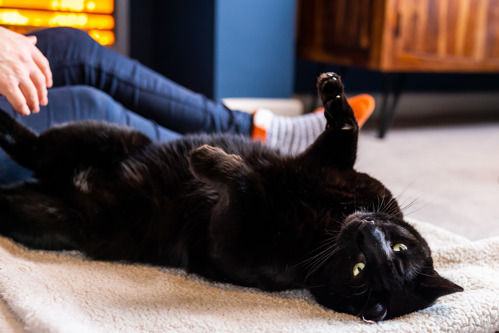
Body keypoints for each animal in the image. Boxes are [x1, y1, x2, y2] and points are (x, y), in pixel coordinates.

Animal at [0, 73, 462, 322]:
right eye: (399, 246)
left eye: (359, 270)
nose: (368, 234)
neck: (329, 221)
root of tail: (56, 186)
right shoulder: (327, 167)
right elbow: (345, 129)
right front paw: (332, 89)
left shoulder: (228, 240)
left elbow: (241, 183)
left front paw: (207, 159)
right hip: (105, 135)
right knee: (31, 146)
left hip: (48, 214)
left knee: (26, 156)